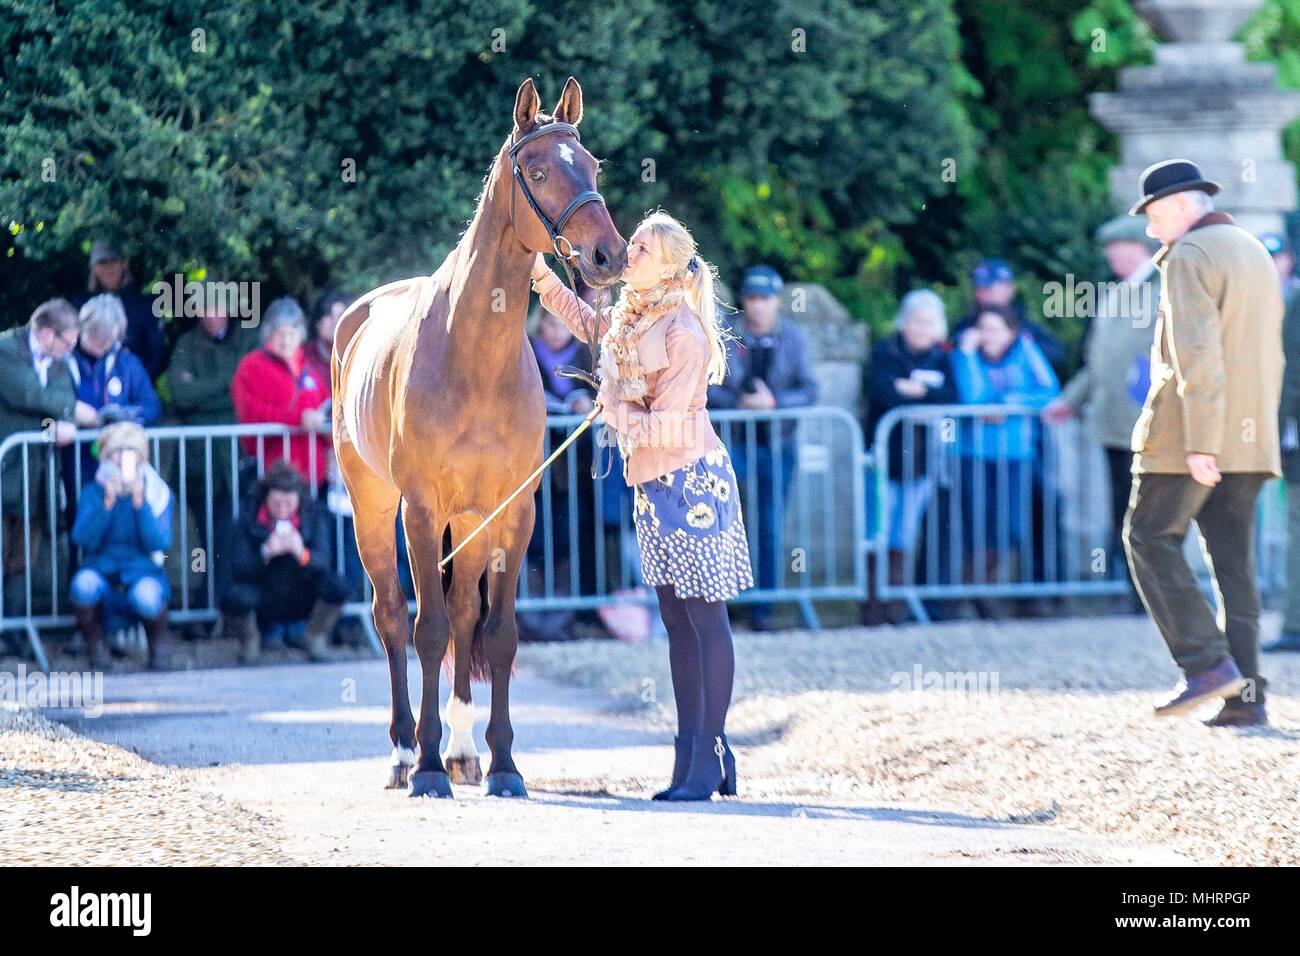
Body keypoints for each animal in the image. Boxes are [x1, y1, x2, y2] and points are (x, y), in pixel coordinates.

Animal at [330, 74, 624, 796]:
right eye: (539, 170)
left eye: (593, 166)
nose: (609, 255)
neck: (474, 357)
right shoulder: (421, 508)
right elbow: (428, 628)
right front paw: (428, 766)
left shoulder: (513, 511)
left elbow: (497, 633)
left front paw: (504, 764)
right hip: (374, 506)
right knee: (392, 616)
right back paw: (404, 754)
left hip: (470, 519)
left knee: (466, 615)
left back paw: (465, 752)